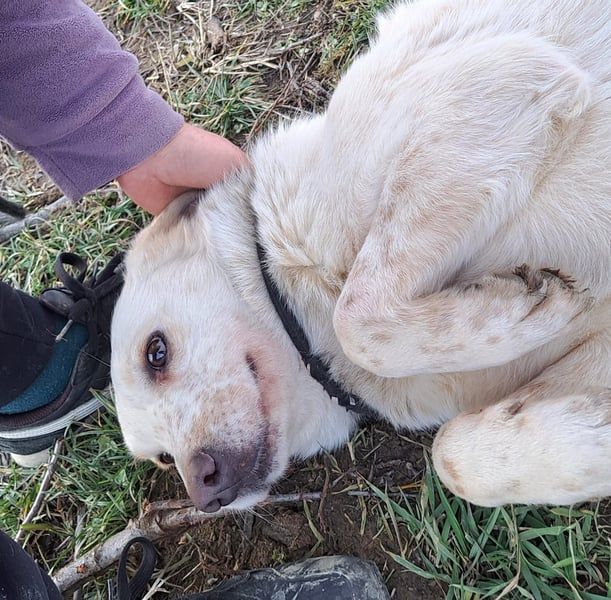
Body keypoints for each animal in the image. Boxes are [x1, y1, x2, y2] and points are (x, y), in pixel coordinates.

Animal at [111, 0, 611, 512]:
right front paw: (592, 435)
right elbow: (454, 457)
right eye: (163, 458)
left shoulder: (494, 89)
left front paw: (533, 306)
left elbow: (358, 322)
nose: (204, 493)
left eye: (155, 352)